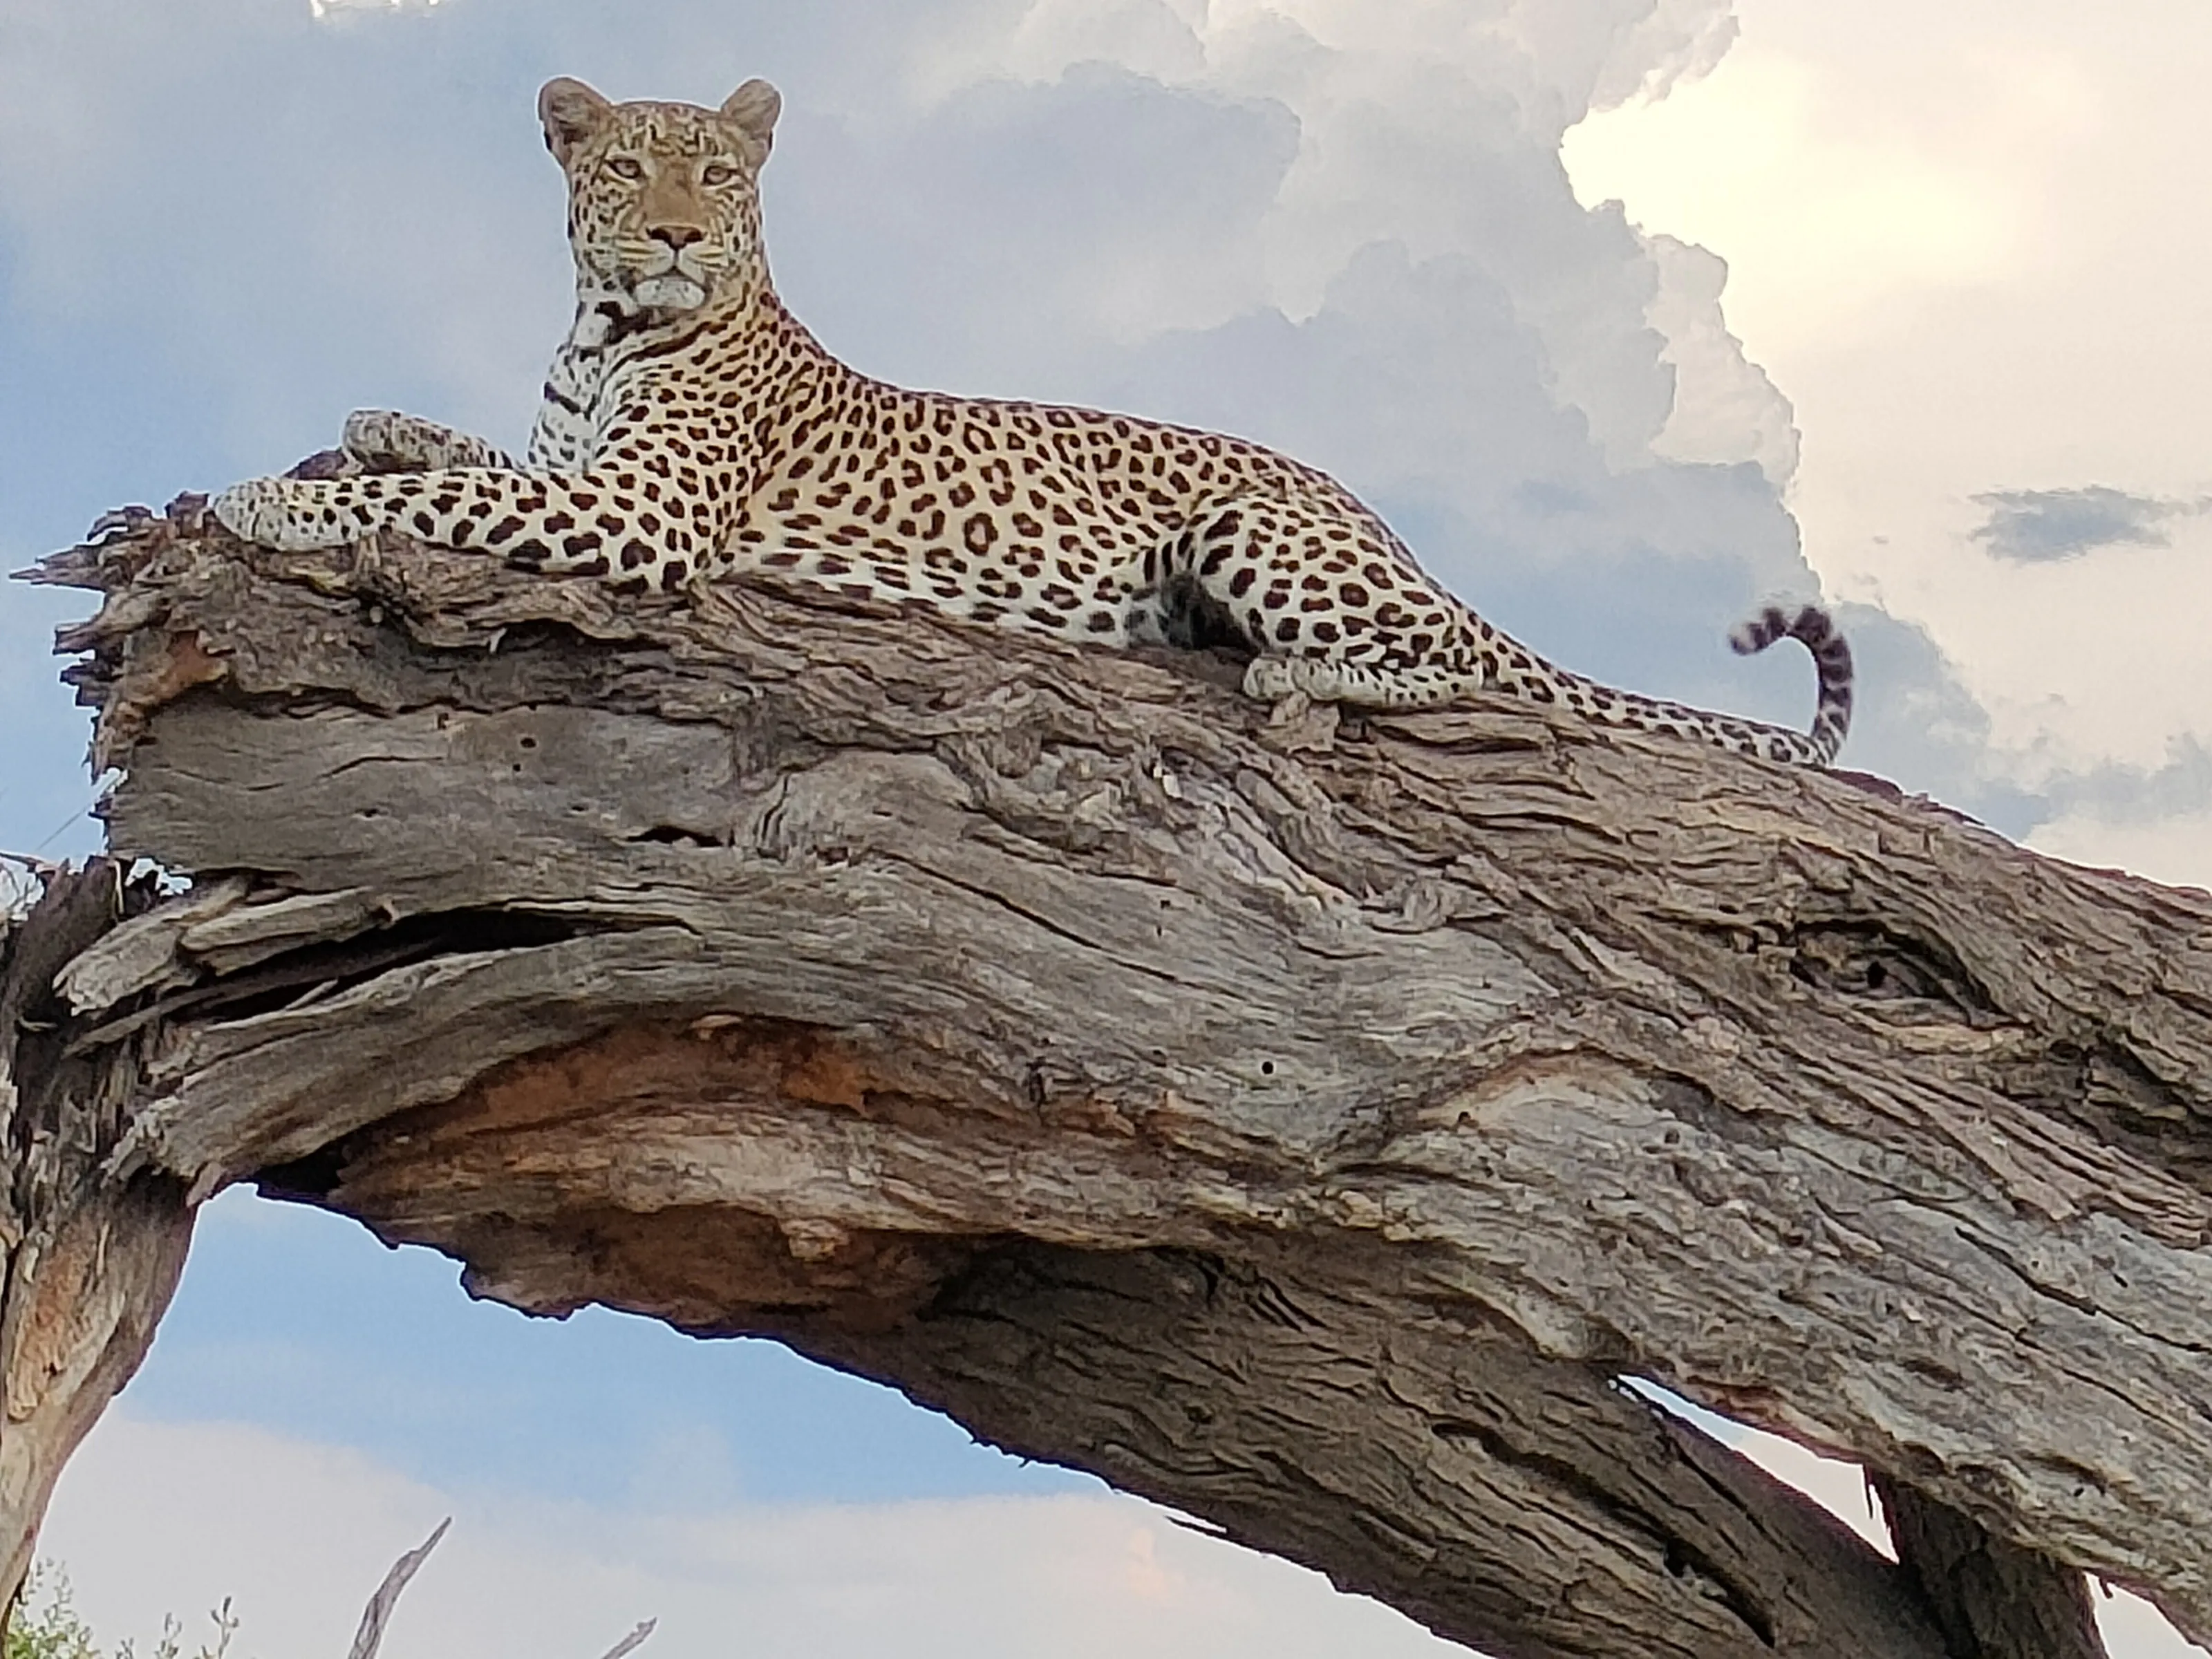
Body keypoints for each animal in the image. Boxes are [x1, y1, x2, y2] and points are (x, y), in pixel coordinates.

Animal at [213, 76, 1854, 766]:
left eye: (718, 179)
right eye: (625, 171)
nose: (674, 233)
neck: (604, 325)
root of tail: (1381, 521)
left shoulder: (641, 515)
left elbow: (435, 503)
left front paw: (268, 502)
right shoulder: (579, 471)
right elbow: (460, 457)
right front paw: (373, 420)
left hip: (1254, 530)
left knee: (1476, 675)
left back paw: (1298, 681)